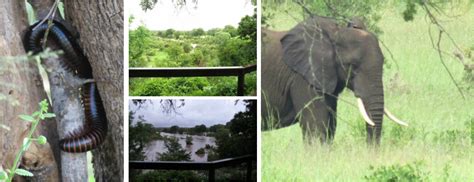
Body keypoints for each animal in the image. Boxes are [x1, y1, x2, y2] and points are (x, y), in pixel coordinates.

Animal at [260, 15, 408, 145]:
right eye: (352, 66)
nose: (372, 153)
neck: (334, 34)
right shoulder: (304, 77)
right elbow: (316, 126)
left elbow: (330, 126)